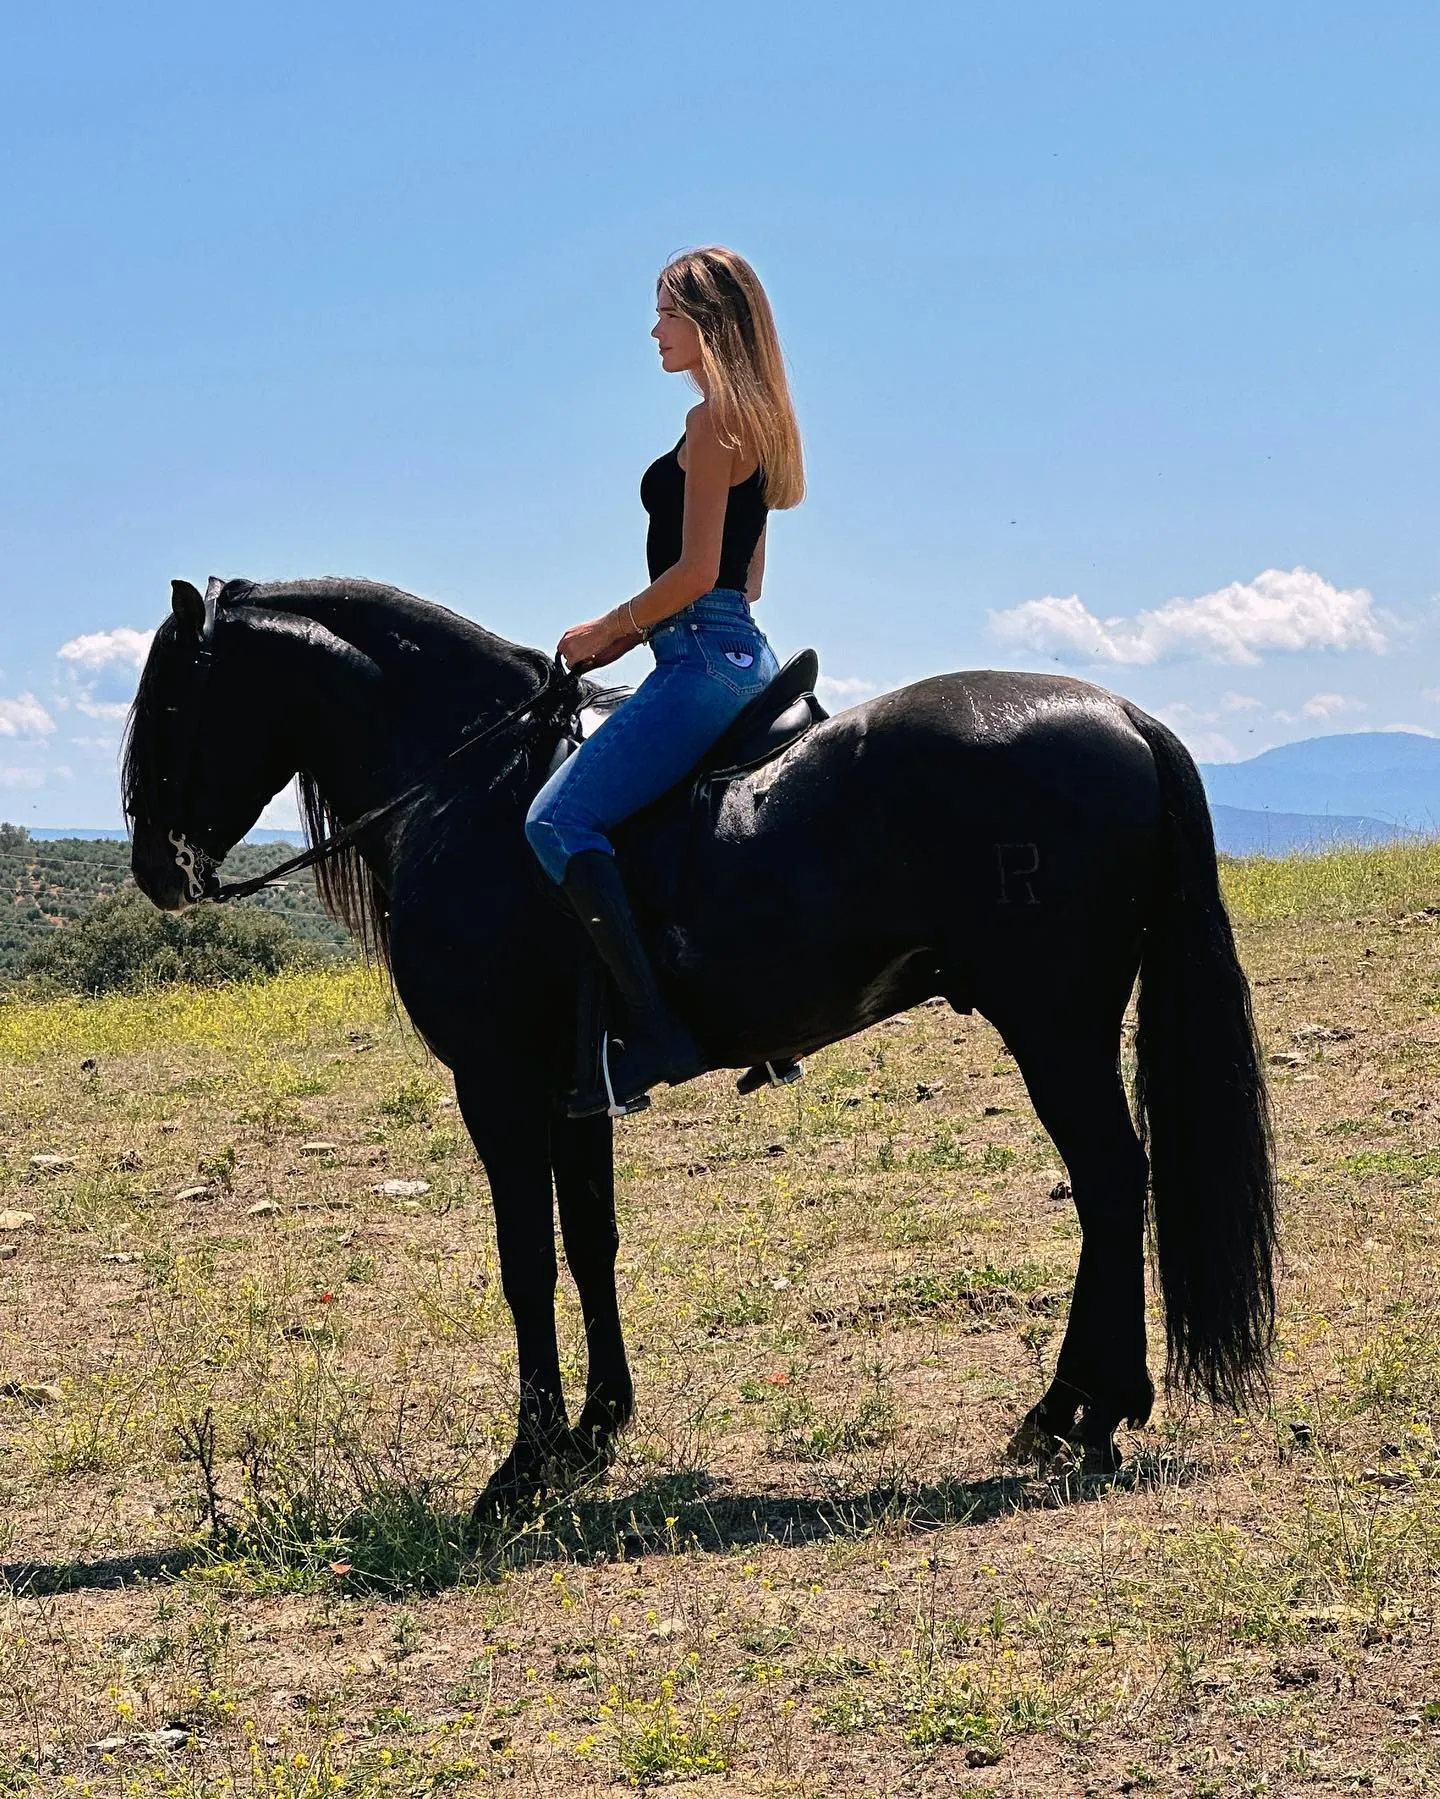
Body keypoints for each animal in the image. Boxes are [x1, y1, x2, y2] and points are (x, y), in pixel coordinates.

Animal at [120, 579, 1274, 1503]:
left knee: (1111, 1179)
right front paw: (595, 1431)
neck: (466, 789)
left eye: (170, 702)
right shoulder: (571, 1090)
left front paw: (522, 1465)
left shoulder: (497, 1085)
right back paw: (1066, 1411)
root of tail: (1124, 716)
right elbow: (589, 1241)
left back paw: (1092, 1411)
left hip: (1054, 1025)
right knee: (1109, 1185)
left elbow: (524, 1261)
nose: (155, 871)